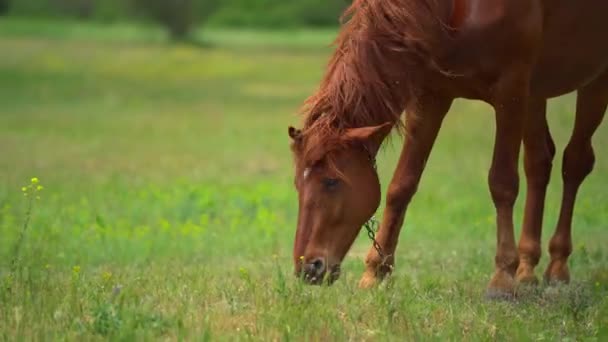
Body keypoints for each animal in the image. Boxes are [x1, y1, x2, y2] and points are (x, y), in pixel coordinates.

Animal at [288, 0, 608, 298]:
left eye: (332, 182)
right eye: (298, 186)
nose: (308, 268)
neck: (455, 11)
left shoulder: (511, 92)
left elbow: (502, 182)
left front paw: (502, 278)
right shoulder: (431, 98)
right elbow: (401, 186)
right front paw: (374, 273)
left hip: (592, 83)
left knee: (575, 162)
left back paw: (557, 267)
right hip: (536, 94)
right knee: (539, 162)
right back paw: (528, 269)